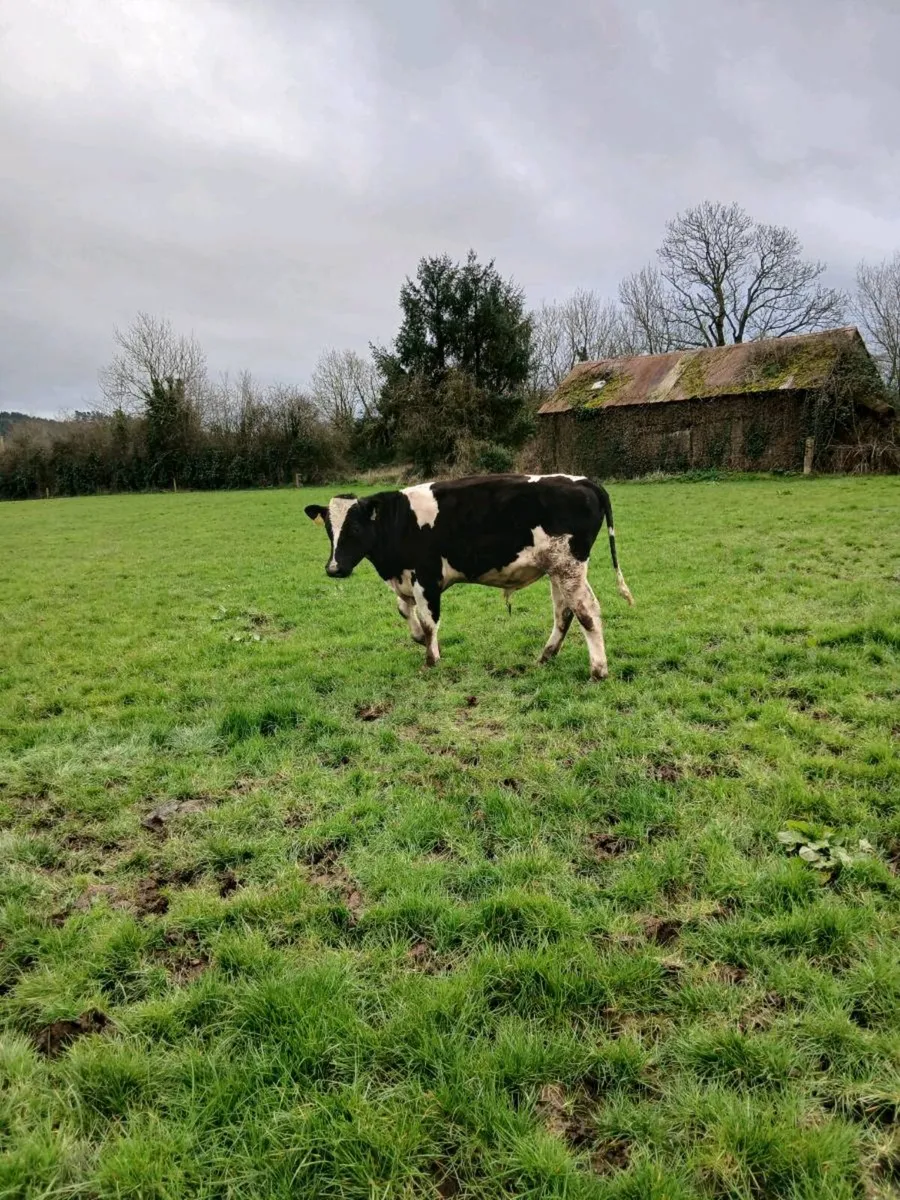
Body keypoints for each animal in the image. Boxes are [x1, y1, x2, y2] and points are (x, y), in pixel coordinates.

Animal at [304, 474, 634, 680]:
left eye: (355, 528)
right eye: (329, 530)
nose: (334, 568)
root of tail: (581, 480)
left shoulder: (427, 576)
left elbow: (429, 621)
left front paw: (431, 661)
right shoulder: (405, 577)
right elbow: (405, 611)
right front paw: (418, 638)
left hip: (568, 567)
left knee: (587, 612)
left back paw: (598, 670)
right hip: (557, 569)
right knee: (564, 612)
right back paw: (546, 656)